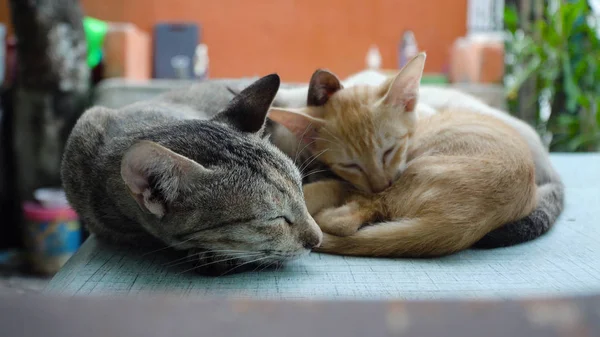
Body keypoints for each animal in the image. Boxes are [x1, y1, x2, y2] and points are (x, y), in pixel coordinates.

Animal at [270, 53, 536, 256]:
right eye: (350, 165)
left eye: (389, 150)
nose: (380, 184)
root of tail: (462, 223)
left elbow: (333, 187)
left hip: (414, 172)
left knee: (347, 218)